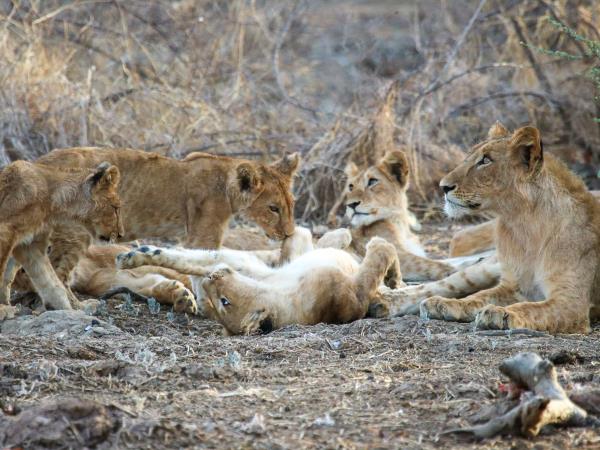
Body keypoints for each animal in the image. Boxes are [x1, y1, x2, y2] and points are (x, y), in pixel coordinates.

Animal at [0, 160, 122, 312]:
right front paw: (3, 309)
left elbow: (51, 282)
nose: (120, 234)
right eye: (115, 208)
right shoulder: (6, 230)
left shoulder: (29, 245)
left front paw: (72, 309)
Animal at [14, 149, 302, 296]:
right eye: (273, 209)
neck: (226, 180)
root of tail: (39, 162)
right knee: (56, 272)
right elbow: (201, 267)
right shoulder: (203, 235)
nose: (289, 234)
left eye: (292, 204)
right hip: (76, 233)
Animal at [418, 123, 600, 334]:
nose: (443, 187)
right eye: (468, 157)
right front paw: (445, 303)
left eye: (485, 160)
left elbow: (530, 308)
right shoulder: (512, 287)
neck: (524, 225)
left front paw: (501, 313)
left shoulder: (572, 303)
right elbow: (478, 297)